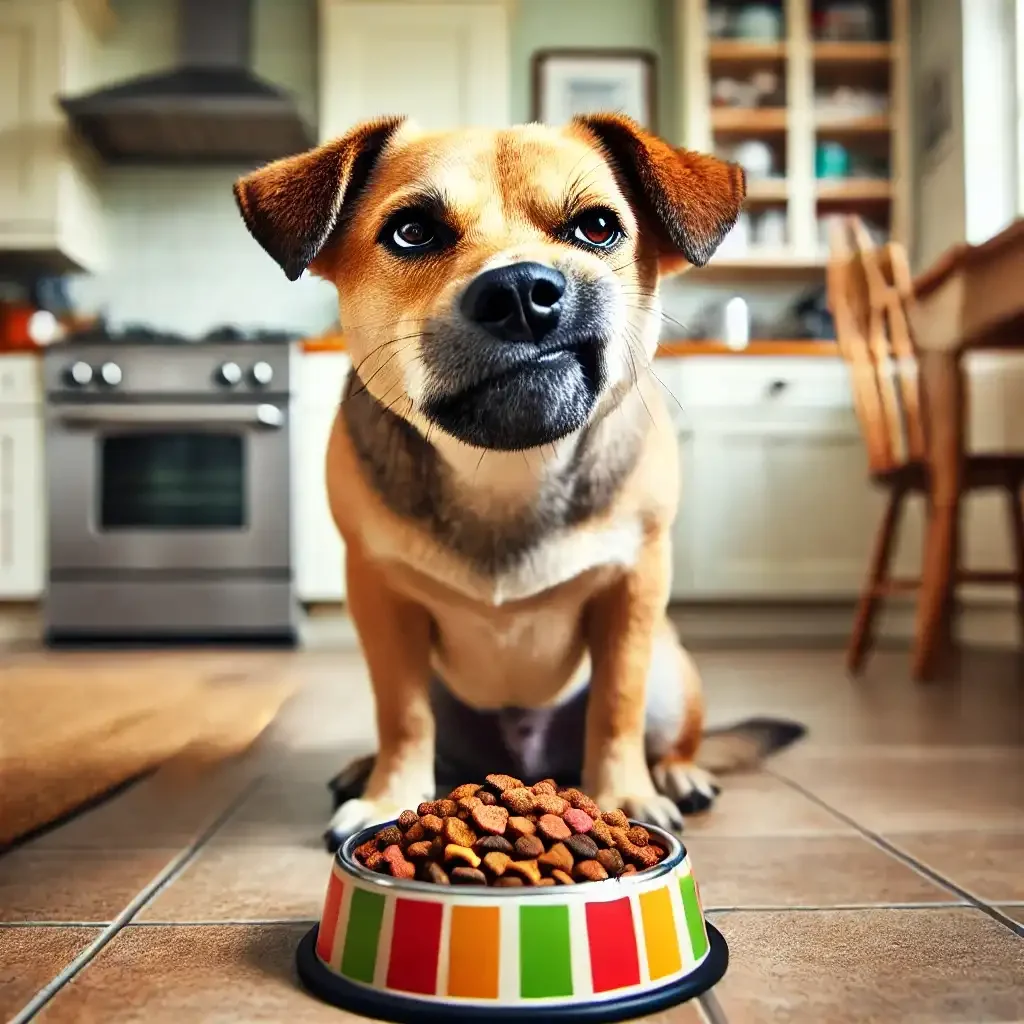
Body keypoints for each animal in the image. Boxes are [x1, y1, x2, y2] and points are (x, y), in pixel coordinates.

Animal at [235, 114, 802, 847]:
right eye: (411, 231)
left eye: (597, 227)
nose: (520, 294)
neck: (509, 466)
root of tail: (530, 761)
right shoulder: (380, 598)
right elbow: (402, 715)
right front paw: (389, 797)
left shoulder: (635, 589)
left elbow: (617, 705)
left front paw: (625, 797)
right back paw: (365, 769)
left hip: (672, 672)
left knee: (668, 736)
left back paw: (677, 775)